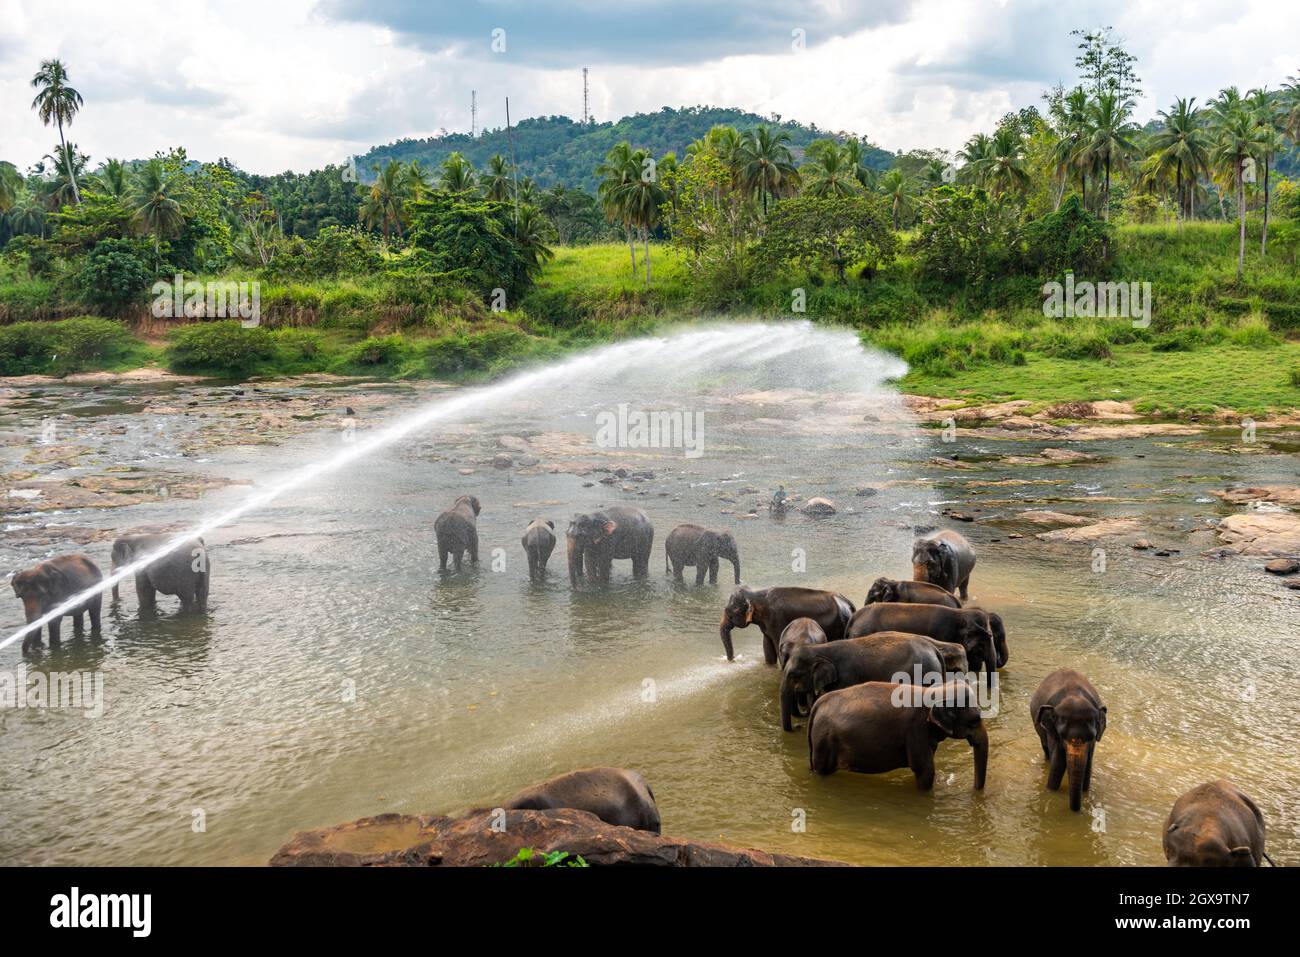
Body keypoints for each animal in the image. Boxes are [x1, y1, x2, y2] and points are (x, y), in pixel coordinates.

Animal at [719, 586, 855, 664]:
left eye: (730, 613)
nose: (734, 659)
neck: (755, 593)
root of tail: (848, 602)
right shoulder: (766, 624)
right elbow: (767, 646)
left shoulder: (776, 620)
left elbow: (777, 644)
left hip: (840, 624)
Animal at [807, 680, 988, 790]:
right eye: (975, 719)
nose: (973, 789)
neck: (934, 691)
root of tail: (817, 704)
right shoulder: (916, 729)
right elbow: (925, 770)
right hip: (824, 740)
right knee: (822, 770)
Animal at [1030, 669, 1107, 813]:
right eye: (1061, 735)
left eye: (1092, 736)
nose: (1076, 812)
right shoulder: (1052, 731)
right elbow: (1058, 763)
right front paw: (1050, 792)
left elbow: (1088, 765)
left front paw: (1085, 792)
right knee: (1046, 750)